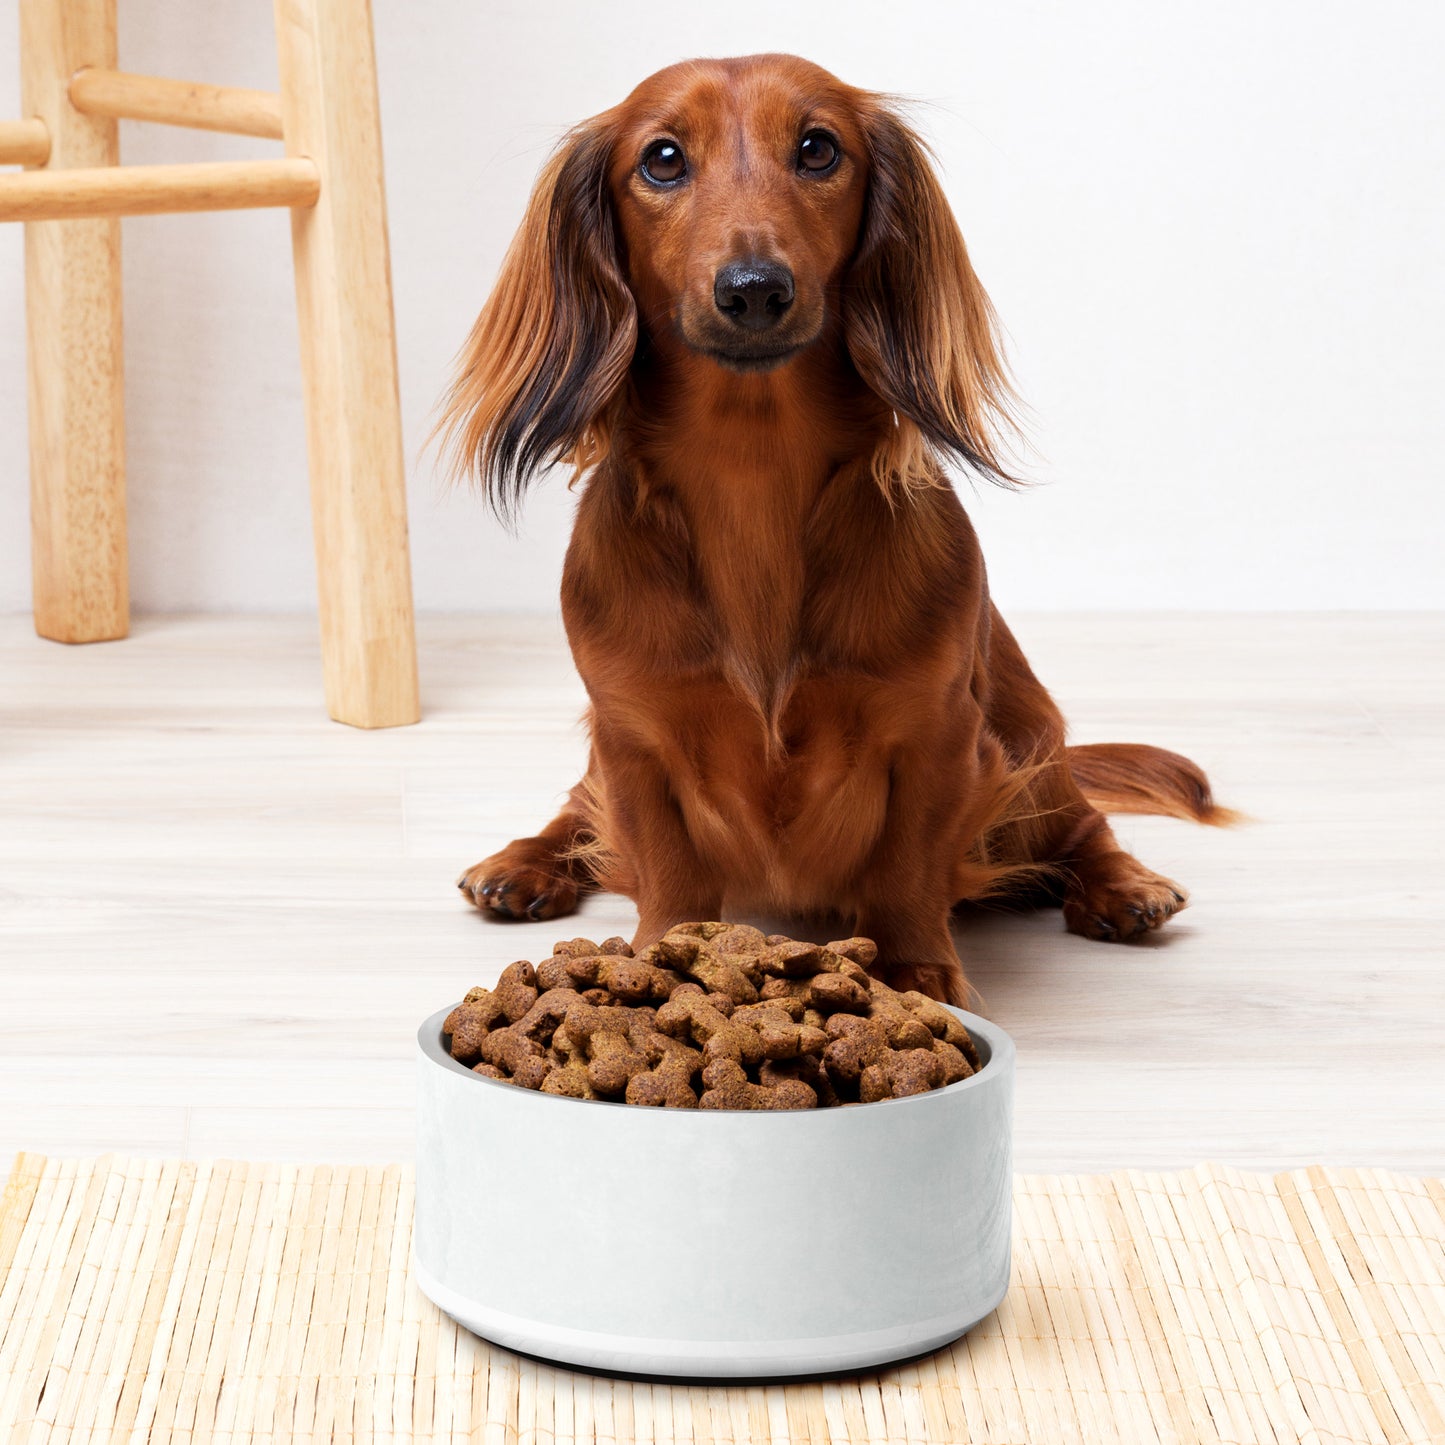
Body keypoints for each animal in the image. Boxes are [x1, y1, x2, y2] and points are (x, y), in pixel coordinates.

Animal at [439, 53, 1231, 1005]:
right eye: (661, 159)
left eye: (818, 148)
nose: (753, 290)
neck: (752, 473)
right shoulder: (632, 735)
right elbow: (664, 865)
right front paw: (660, 958)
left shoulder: (937, 733)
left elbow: (905, 866)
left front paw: (916, 970)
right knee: (575, 810)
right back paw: (523, 863)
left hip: (1028, 745)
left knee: (1080, 823)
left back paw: (1123, 885)